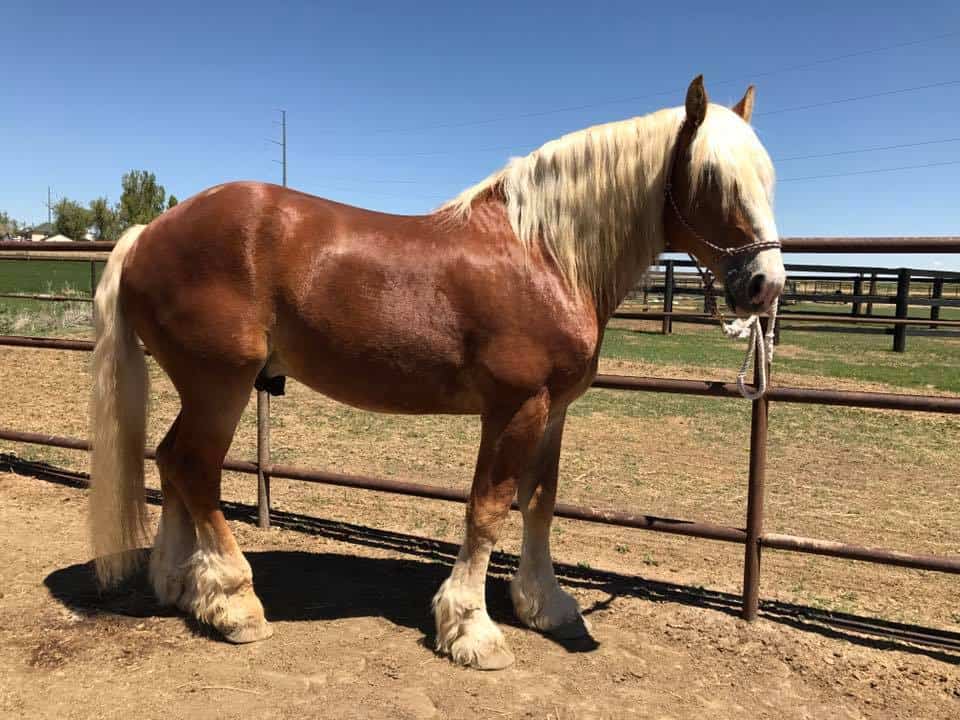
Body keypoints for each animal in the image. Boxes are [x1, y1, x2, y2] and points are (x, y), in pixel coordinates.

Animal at [89, 75, 785, 670]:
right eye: (712, 177)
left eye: (766, 177)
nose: (766, 285)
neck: (545, 255)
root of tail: (148, 232)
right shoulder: (515, 406)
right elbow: (489, 506)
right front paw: (472, 629)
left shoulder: (555, 409)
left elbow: (540, 502)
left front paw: (546, 605)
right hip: (221, 384)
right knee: (194, 467)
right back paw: (234, 604)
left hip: (203, 386)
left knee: (170, 460)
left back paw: (182, 587)